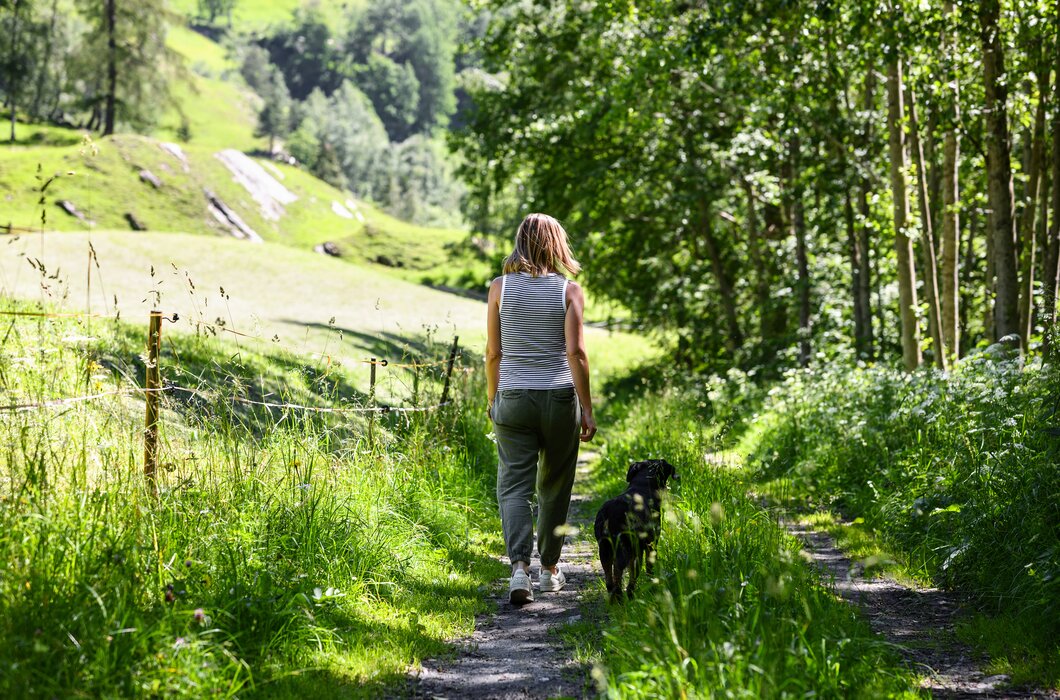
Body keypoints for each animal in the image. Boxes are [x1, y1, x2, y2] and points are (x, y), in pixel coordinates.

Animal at [597, 460, 678, 602]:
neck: (642, 485)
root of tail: (609, 513)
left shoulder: (637, 550)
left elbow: (635, 572)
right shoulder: (650, 545)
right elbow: (647, 569)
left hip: (605, 550)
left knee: (608, 576)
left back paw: (614, 597)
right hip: (623, 549)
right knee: (617, 571)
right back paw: (619, 596)